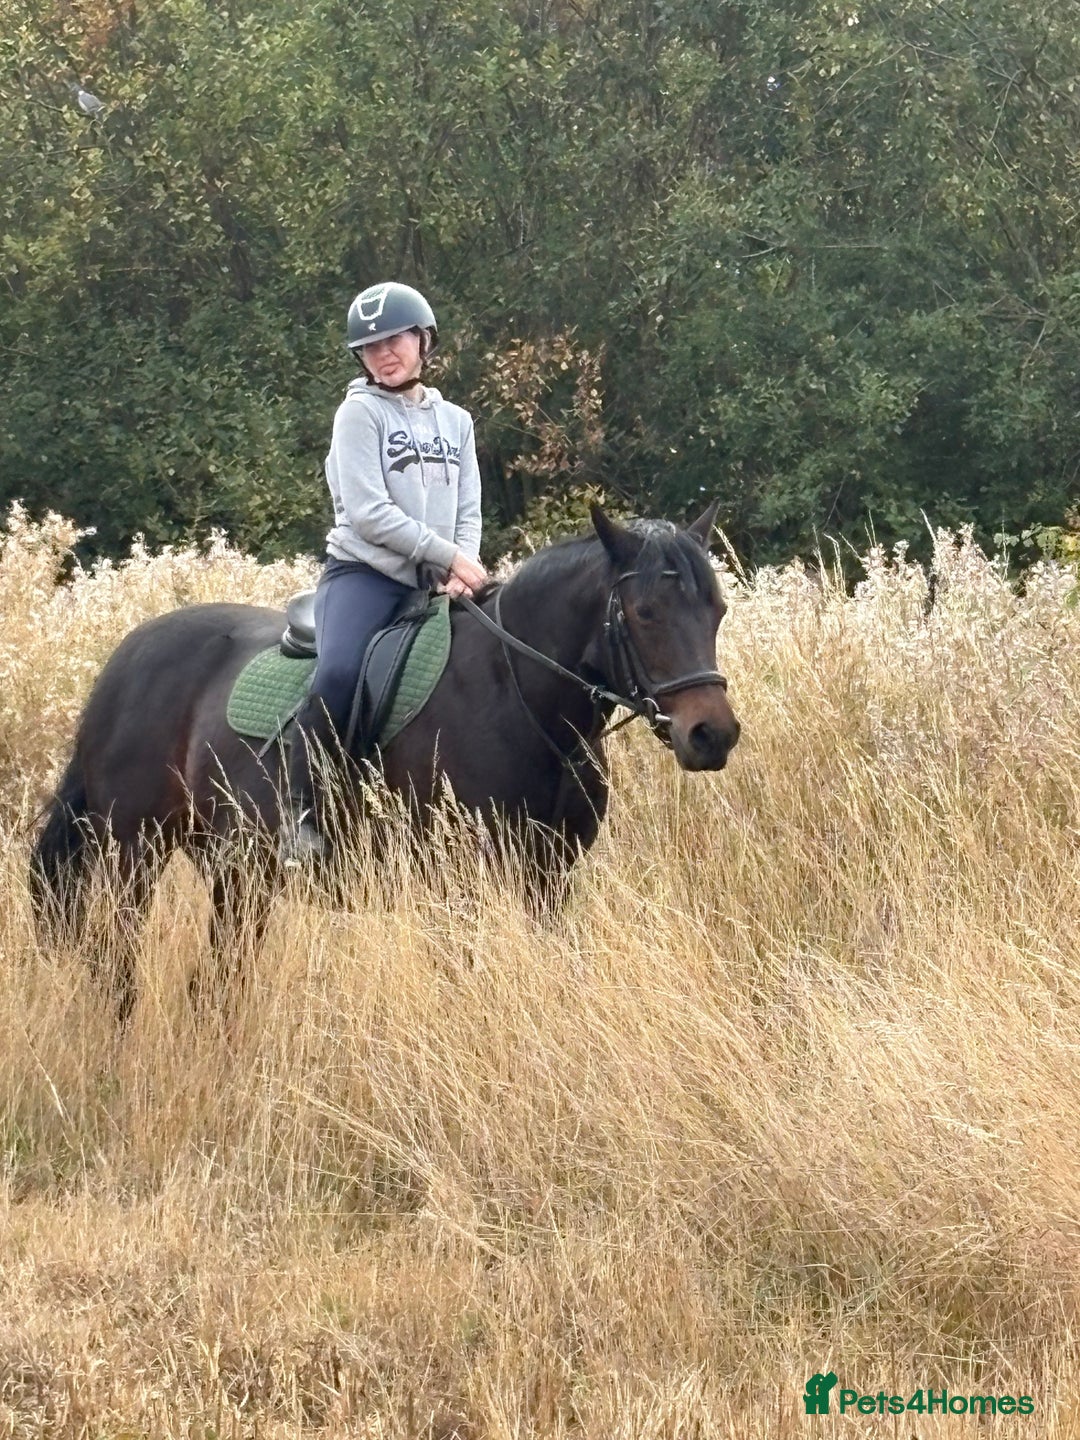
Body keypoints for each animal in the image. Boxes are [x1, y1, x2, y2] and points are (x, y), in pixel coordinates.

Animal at [29, 504, 740, 1018]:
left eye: (717, 609)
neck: (520, 694)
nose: (712, 735)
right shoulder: (459, 881)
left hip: (238, 871)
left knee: (218, 974)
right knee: (115, 958)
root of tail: (125, 659)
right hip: (133, 852)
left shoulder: (549, 877)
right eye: (644, 613)